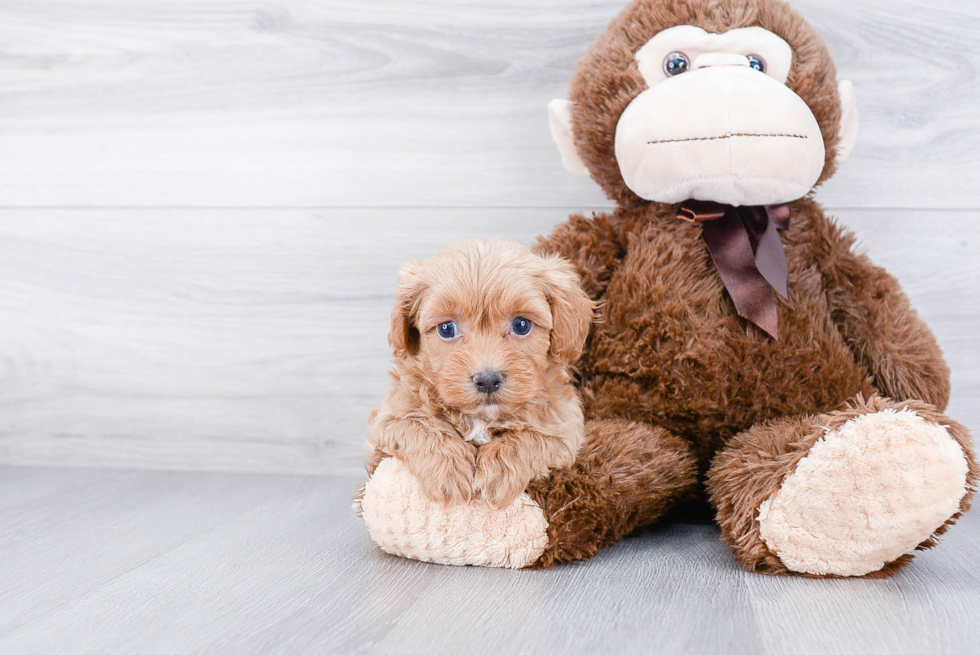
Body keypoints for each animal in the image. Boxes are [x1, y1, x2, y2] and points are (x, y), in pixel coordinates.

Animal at [368, 238, 596, 510]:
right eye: (446, 329)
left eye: (521, 325)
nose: (487, 380)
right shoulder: (390, 417)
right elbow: (420, 426)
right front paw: (451, 473)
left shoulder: (565, 427)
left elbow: (530, 437)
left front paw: (497, 473)